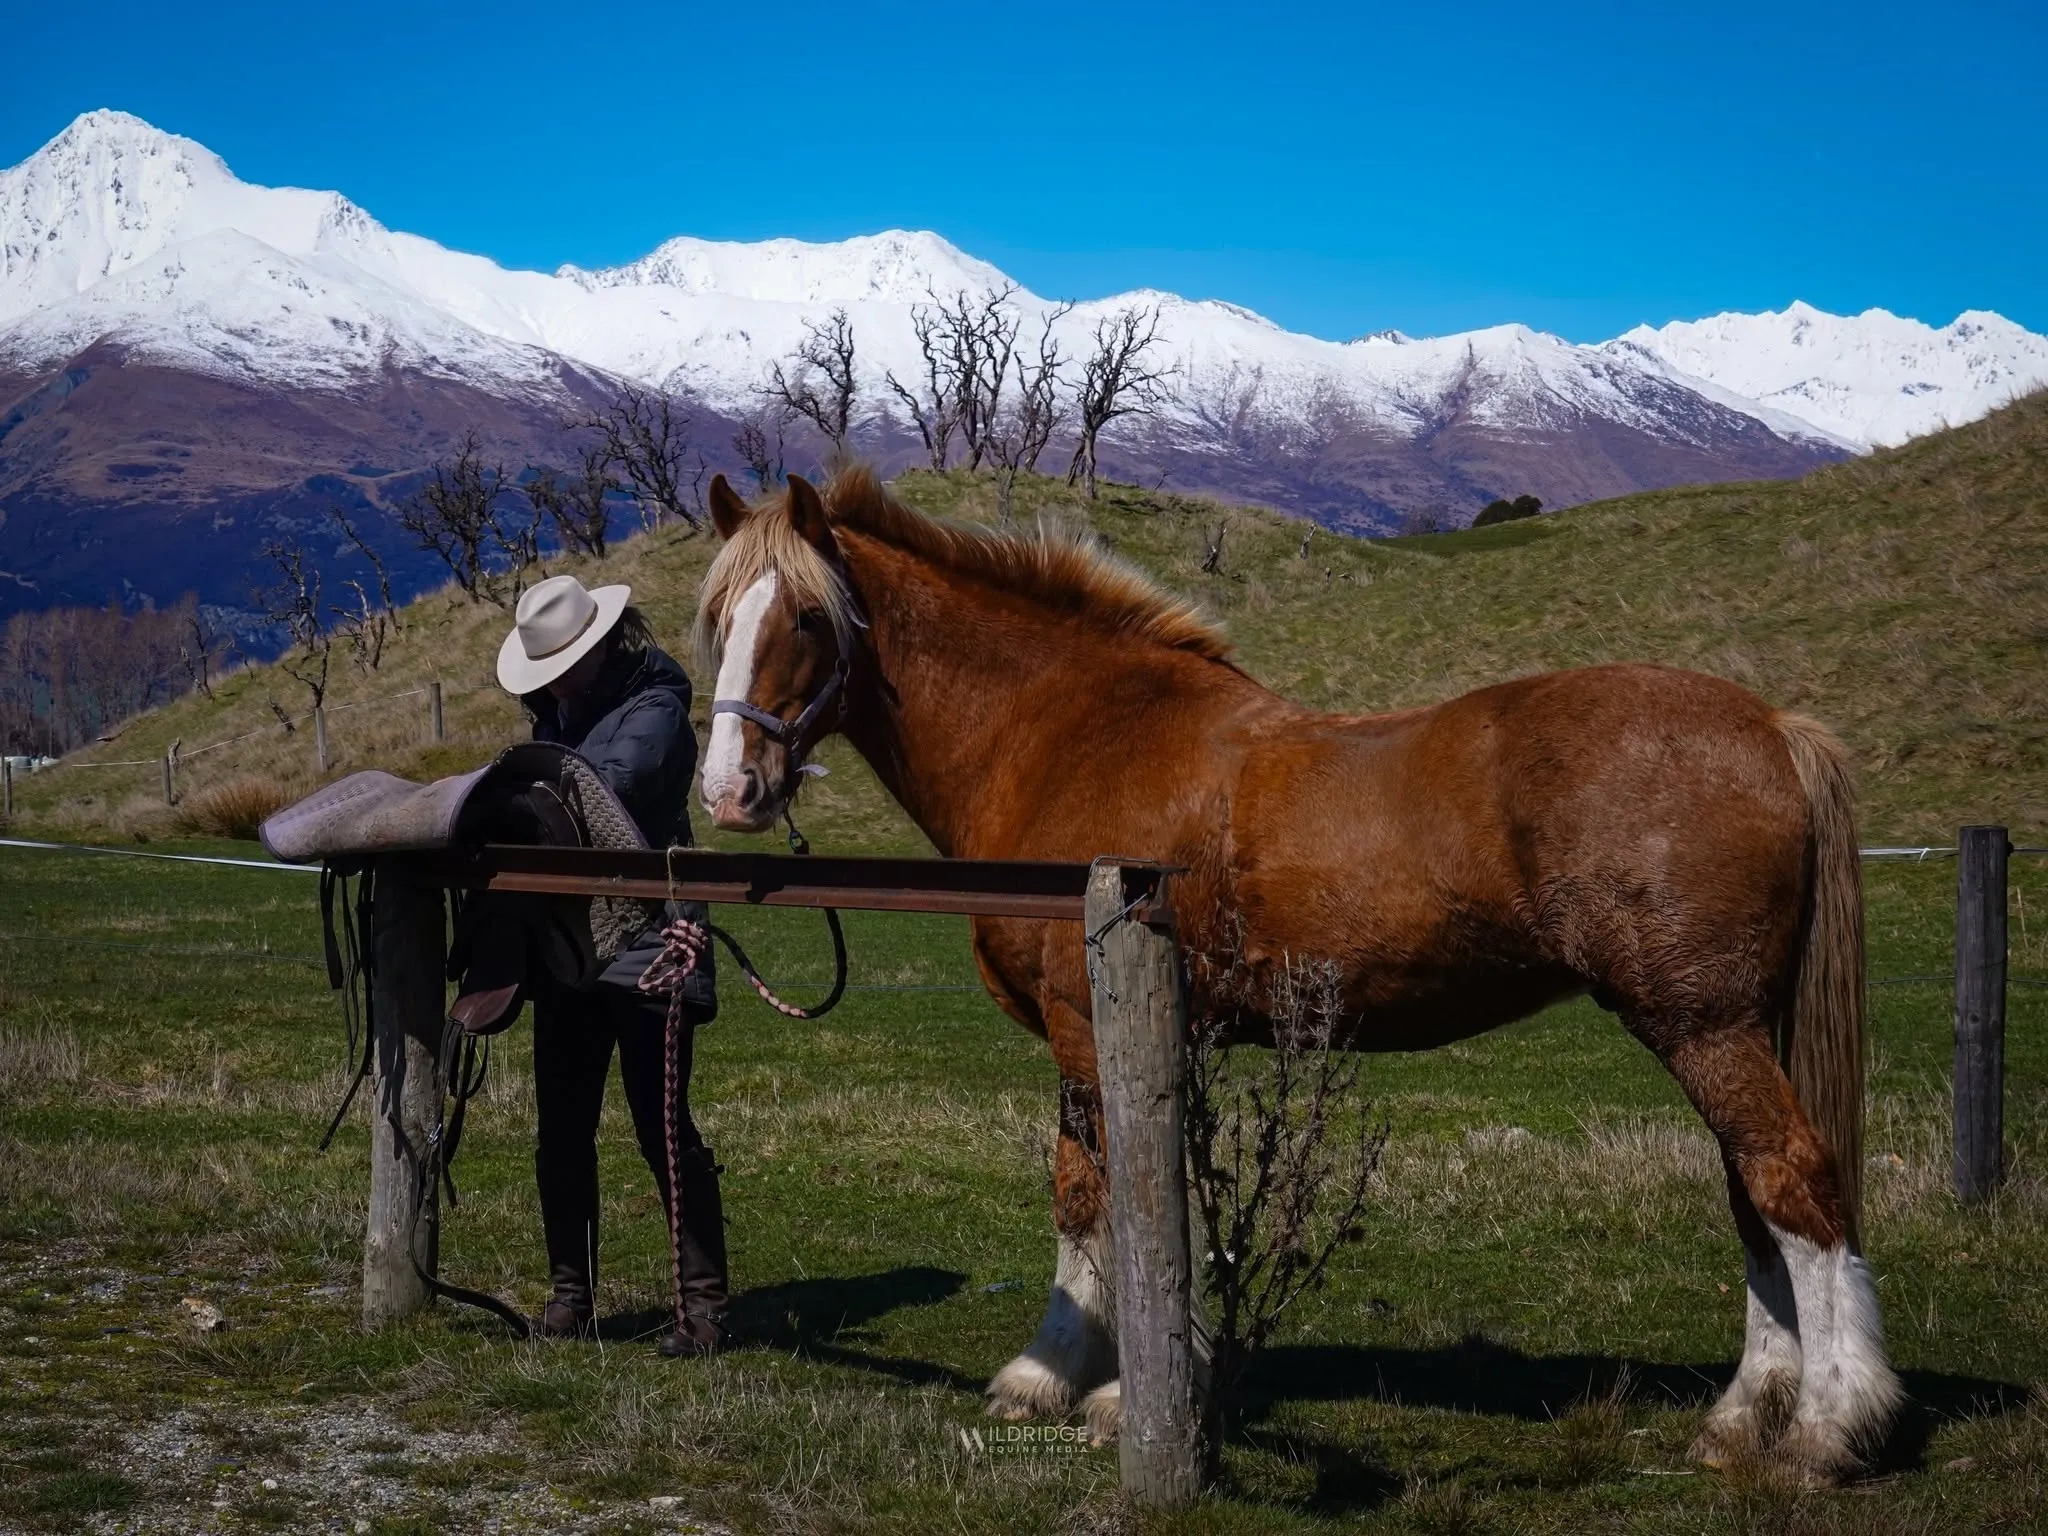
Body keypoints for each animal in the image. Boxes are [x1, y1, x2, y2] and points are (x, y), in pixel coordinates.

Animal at [689, 467, 1902, 1483]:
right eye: (717, 623)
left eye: (806, 618)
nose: (729, 791)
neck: (1070, 730)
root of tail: (1770, 726)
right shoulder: (1123, 1034)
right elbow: (1109, 1193)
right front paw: (1064, 1377)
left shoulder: (1093, 1023)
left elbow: (1106, 1196)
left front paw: (1109, 1390)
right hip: (1722, 1029)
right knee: (1753, 1198)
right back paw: (1741, 1419)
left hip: (1703, 1026)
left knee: (1792, 1182)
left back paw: (1827, 1428)